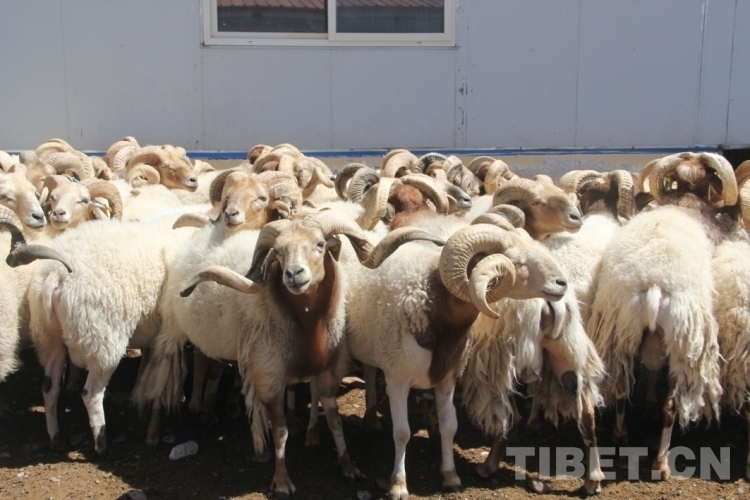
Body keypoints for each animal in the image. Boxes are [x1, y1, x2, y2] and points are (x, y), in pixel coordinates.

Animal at [172, 210, 445, 497]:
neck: (305, 325)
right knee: (207, 365)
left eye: (320, 244)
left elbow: (335, 420)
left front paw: (349, 467)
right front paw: (282, 481)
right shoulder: (270, 377)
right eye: (278, 252)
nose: (293, 274)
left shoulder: (327, 371)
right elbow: (280, 431)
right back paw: (204, 410)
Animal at [341, 212, 569, 499]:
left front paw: (451, 477)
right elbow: (402, 433)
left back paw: (371, 419)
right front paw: (398, 484)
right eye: (516, 262)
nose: (563, 283)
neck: (429, 304)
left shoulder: (447, 378)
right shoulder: (397, 380)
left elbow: (449, 426)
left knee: (370, 370)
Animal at [587, 152, 736, 480]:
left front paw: (648, 403)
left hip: (623, 327)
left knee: (620, 386)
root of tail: (654, 283)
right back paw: (662, 463)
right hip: (684, 341)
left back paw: (621, 435)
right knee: (672, 405)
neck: (686, 200)